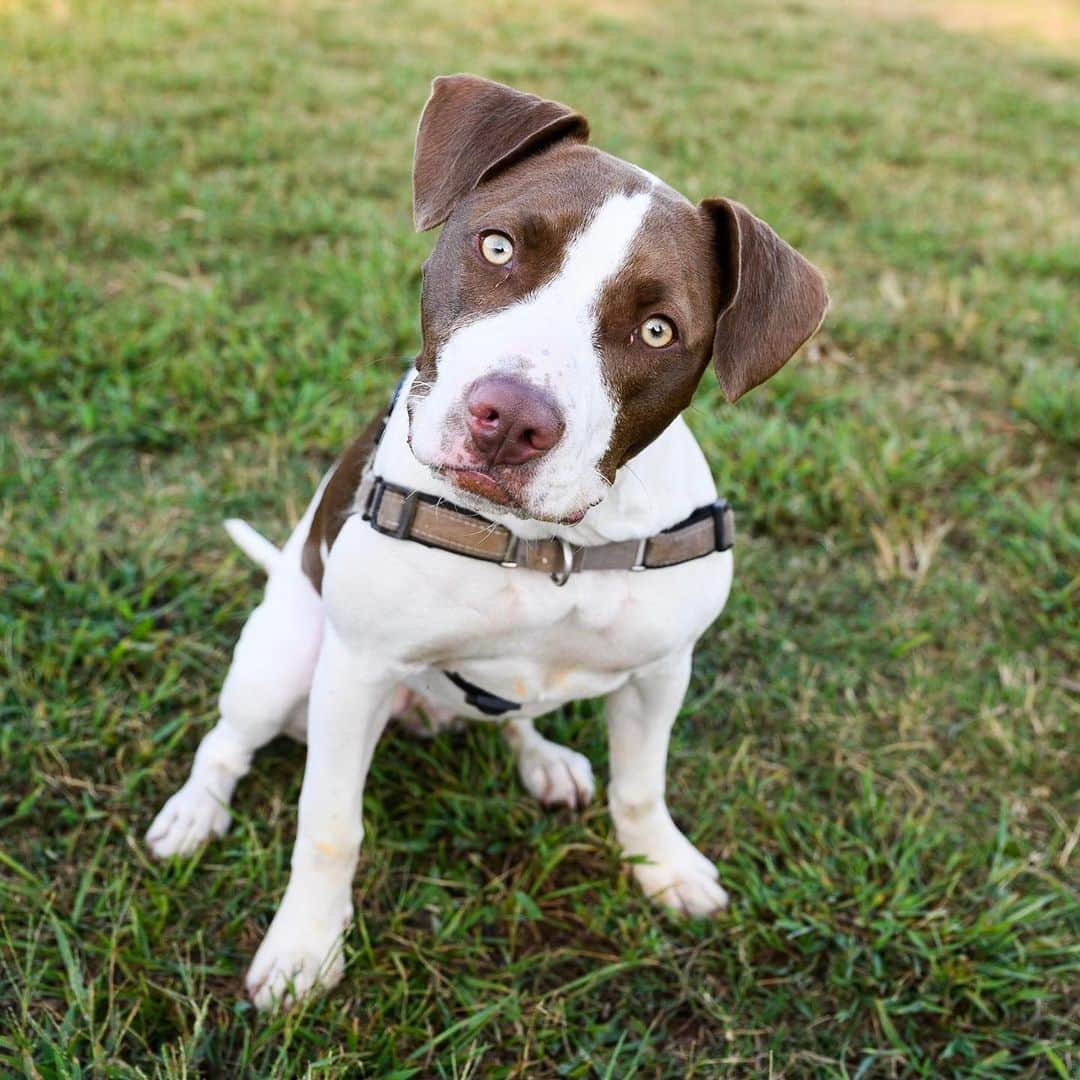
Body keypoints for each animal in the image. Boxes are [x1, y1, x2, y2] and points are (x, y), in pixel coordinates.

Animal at [145, 71, 825, 1006]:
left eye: (658, 330)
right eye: (497, 247)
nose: (510, 421)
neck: (547, 544)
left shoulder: (661, 674)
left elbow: (642, 787)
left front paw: (663, 867)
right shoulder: (355, 673)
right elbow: (330, 825)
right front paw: (305, 950)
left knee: (512, 715)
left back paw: (544, 760)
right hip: (282, 661)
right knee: (226, 741)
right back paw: (193, 813)